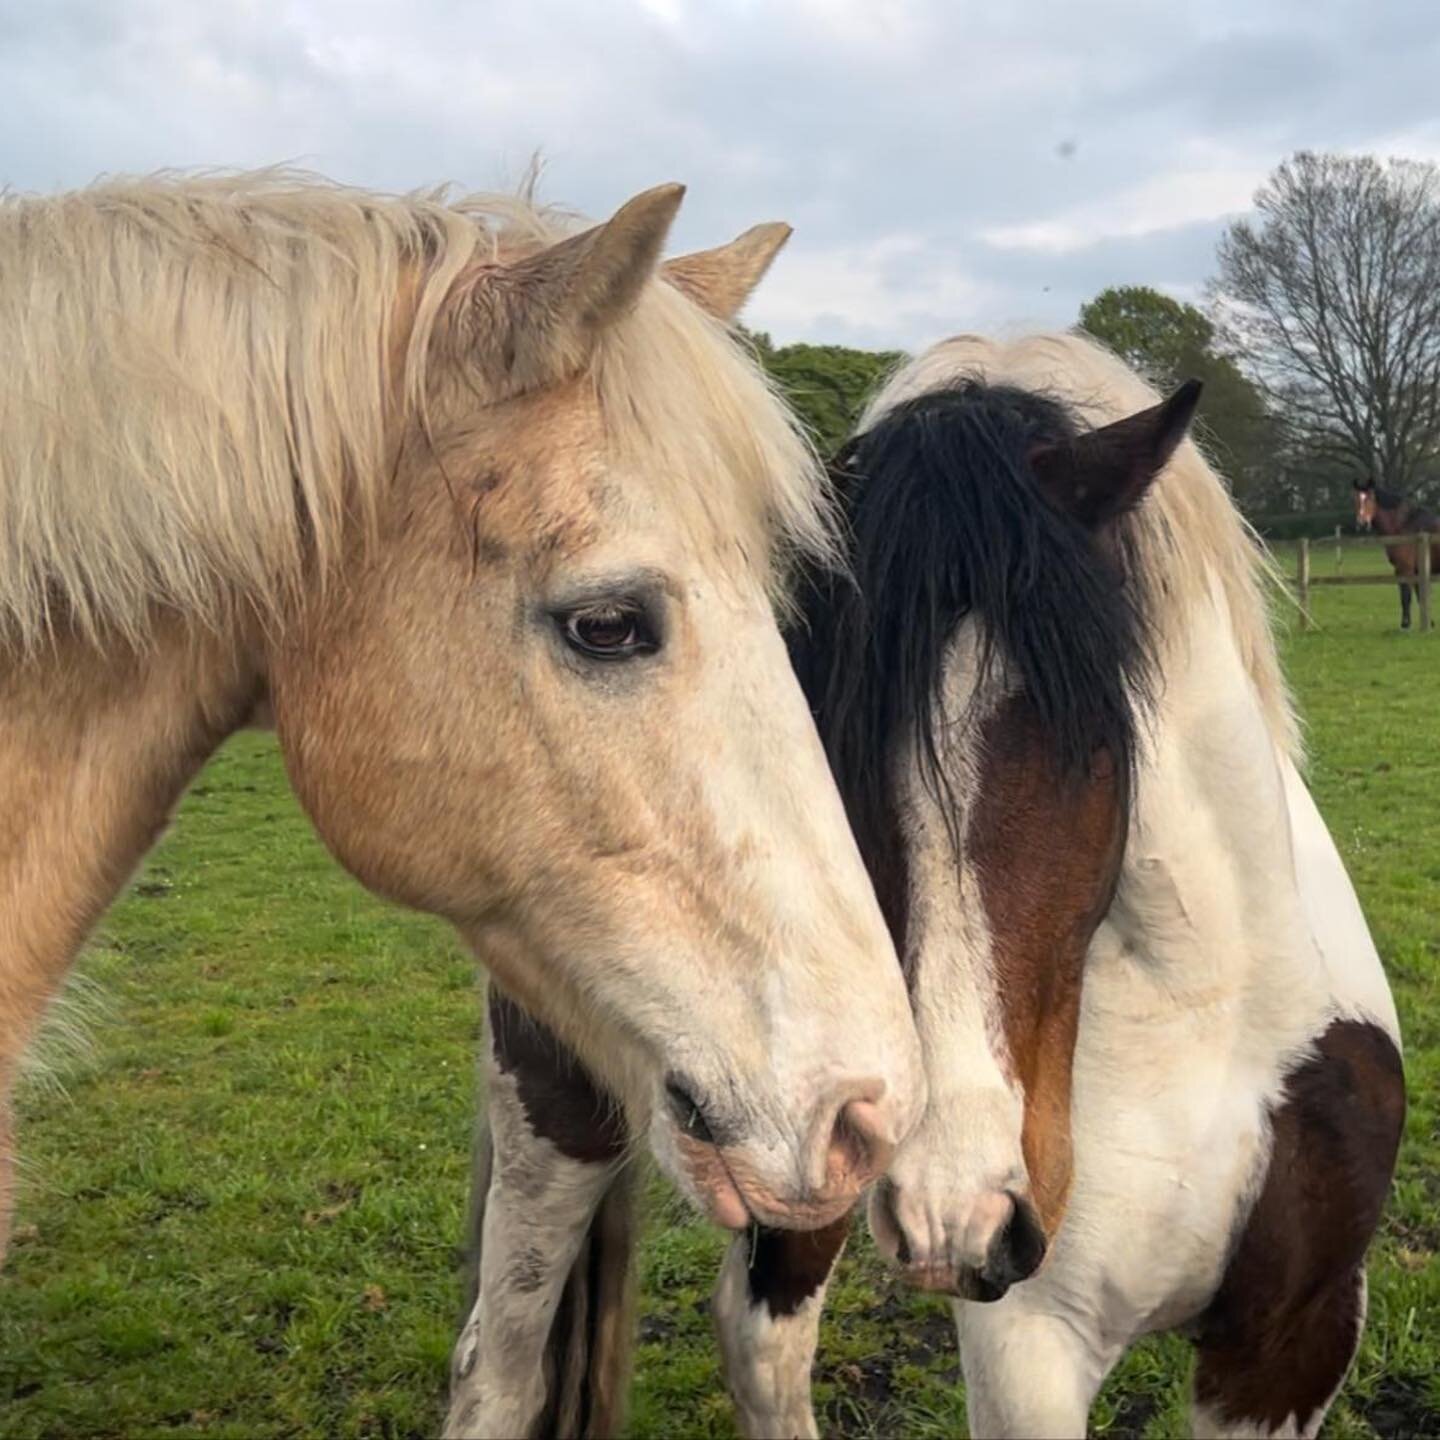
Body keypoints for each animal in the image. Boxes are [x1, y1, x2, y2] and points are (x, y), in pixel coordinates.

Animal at [720, 339, 1405, 1440]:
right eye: (834, 738)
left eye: (1088, 732)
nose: (950, 1206)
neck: (1204, 1018)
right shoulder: (1030, 1347)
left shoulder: (1294, 1343)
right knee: (763, 1339)